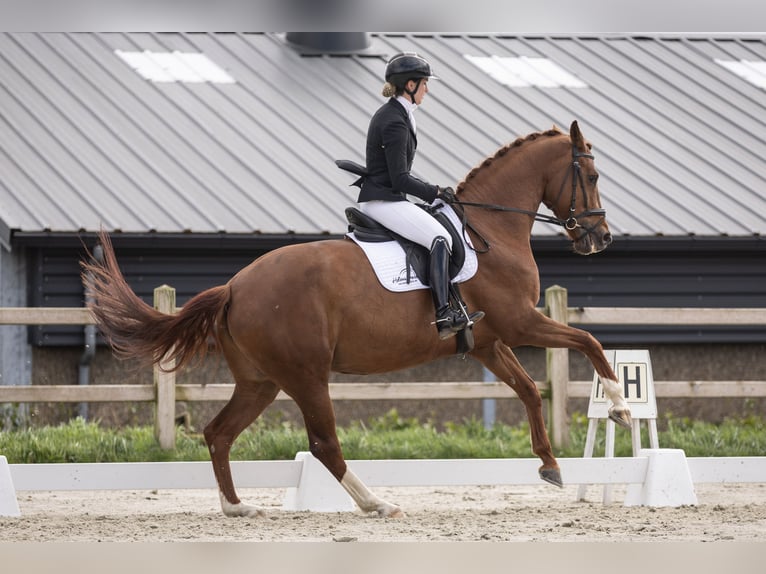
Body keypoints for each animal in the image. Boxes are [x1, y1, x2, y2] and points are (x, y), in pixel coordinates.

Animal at [84, 120, 632, 516]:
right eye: (592, 177)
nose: (601, 239)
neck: (490, 230)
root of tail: (235, 287)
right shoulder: (520, 323)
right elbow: (587, 341)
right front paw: (620, 406)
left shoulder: (487, 341)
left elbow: (528, 390)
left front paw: (550, 465)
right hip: (305, 375)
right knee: (323, 444)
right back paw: (376, 503)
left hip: (261, 380)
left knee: (219, 433)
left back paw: (238, 508)